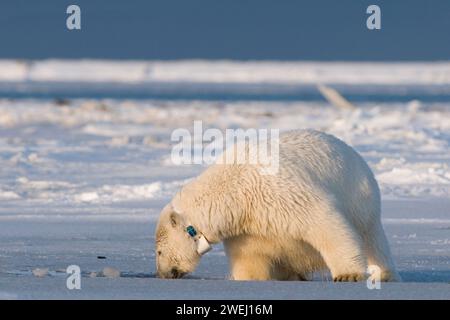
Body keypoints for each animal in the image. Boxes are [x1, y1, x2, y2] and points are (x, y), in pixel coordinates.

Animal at [154, 129, 398, 282]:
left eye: (158, 252)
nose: (162, 274)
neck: (232, 189)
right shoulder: (246, 226)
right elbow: (250, 256)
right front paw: (251, 277)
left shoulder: (275, 192)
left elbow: (323, 222)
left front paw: (348, 274)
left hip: (361, 199)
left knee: (371, 238)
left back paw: (382, 273)